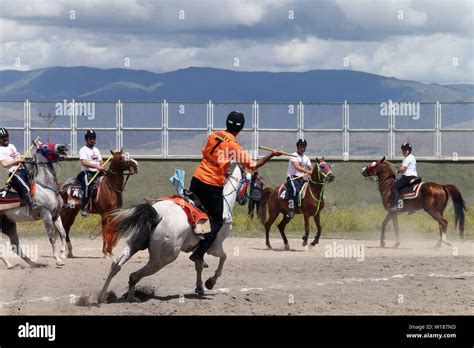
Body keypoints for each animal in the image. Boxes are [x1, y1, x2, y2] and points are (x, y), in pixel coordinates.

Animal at [0, 140, 68, 268]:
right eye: (45, 147)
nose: (63, 147)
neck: (45, 187)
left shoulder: (56, 215)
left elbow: (63, 233)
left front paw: (62, 254)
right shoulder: (46, 214)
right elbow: (52, 237)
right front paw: (57, 259)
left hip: (9, 225)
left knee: (16, 247)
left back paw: (34, 263)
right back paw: (9, 264)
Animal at [96, 163, 244, 302]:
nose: (244, 200)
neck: (224, 205)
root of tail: (158, 215)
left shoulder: (198, 250)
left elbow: (198, 265)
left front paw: (199, 287)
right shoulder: (214, 247)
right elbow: (224, 257)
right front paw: (210, 282)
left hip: (135, 244)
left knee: (116, 266)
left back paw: (102, 297)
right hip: (163, 258)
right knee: (133, 276)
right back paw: (132, 299)